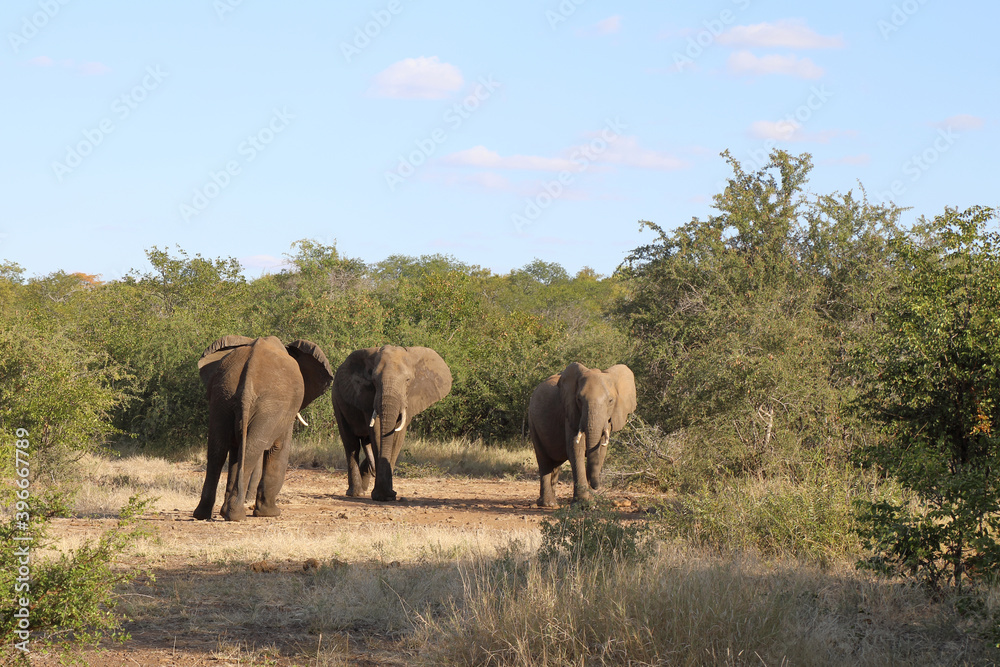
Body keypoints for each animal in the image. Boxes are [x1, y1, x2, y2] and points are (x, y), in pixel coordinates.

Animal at [193, 334, 334, 520]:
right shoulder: (285, 410)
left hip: (222, 397)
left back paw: (205, 514)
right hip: (269, 405)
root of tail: (248, 376)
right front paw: (271, 514)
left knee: (218, 449)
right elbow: (279, 448)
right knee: (251, 449)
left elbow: (234, 450)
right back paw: (236, 515)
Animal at [334, 348, 452, 498]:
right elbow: (377, 432)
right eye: (374, 381)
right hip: (336, 399)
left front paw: (388, 495)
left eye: (408, 380)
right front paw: (383, 496)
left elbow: (397, 437)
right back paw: (357, 493)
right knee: (351, 444)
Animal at [528, 366, 636, 506]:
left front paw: (591, 503)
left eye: (611, 401)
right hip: (532, 421)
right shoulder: (570, 413)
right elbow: (575, 450)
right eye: (579, 400)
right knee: (544, 460)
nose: (596, 486)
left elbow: (601, 452)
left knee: (555, 464)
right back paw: (548, 504)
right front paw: (583, 504)